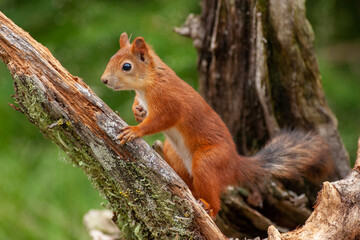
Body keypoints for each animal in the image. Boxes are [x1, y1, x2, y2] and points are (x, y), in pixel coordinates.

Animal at [100, 32, 334, 218]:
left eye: (127, 66)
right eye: (110, 58)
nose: (103, 80)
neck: (150, 81)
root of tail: (234, 165)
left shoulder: (169, 101)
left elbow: (162, 120)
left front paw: (134, 130)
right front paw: (137, 111)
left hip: (208, 161)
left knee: (215, 200)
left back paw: (208, 207)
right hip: (175, 155)